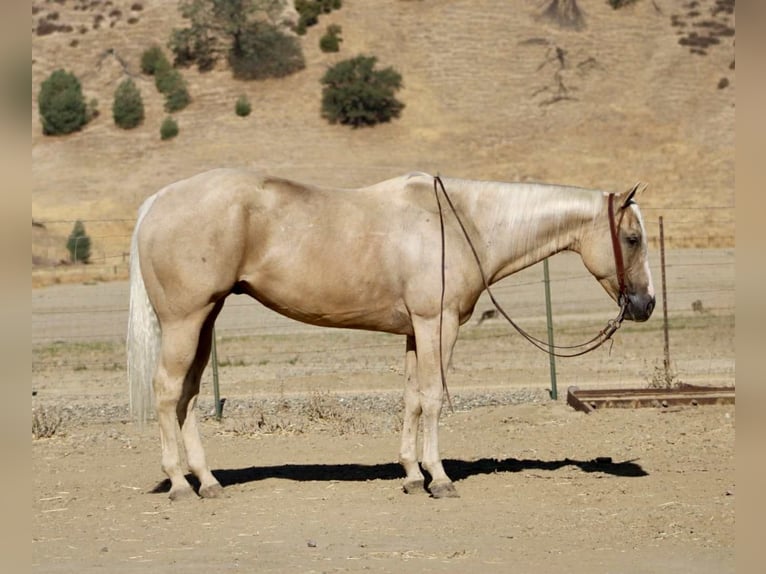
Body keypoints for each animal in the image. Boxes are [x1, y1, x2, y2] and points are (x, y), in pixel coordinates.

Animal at [127, 169, 655, 500]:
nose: (646, 304)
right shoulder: (437, 324)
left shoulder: (414, 333)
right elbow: (435, 398)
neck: (464, 223)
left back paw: (208, 481)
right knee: (167, 391)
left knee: (189, 395)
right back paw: (180, 485)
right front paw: (439, 479)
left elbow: (412, 399)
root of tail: (158, 201)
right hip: (185, 320)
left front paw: (411, 475)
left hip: (205, 319)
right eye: (632, 238)